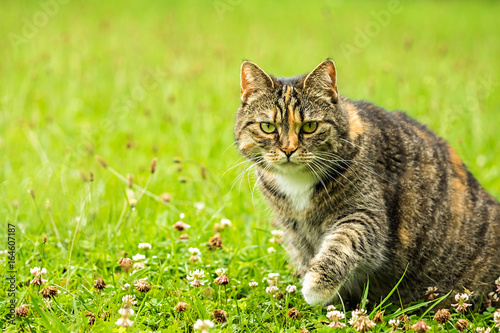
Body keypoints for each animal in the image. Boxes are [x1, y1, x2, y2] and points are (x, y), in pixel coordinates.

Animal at [233, 59, 500, 306]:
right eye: (267, 127)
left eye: (310, 126)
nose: (288, 149)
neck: (297, 182)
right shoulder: (295, 229)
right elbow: (308, 254)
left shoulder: (365, 215)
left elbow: (342, 243)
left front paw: (315, 287)